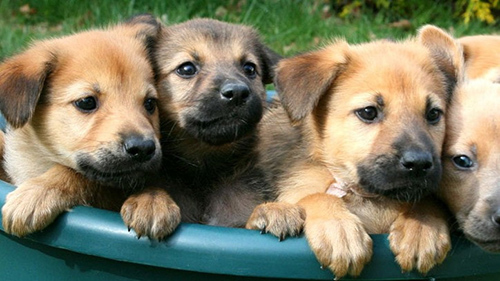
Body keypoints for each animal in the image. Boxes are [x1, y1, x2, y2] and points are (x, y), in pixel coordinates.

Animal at [245, 24, 460, 278]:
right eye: (368, 112)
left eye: (433, 114)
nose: (418, 164)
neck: (370, 198)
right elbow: (317, 196)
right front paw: (339, 230)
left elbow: (426, 203)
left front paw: (421, 229)